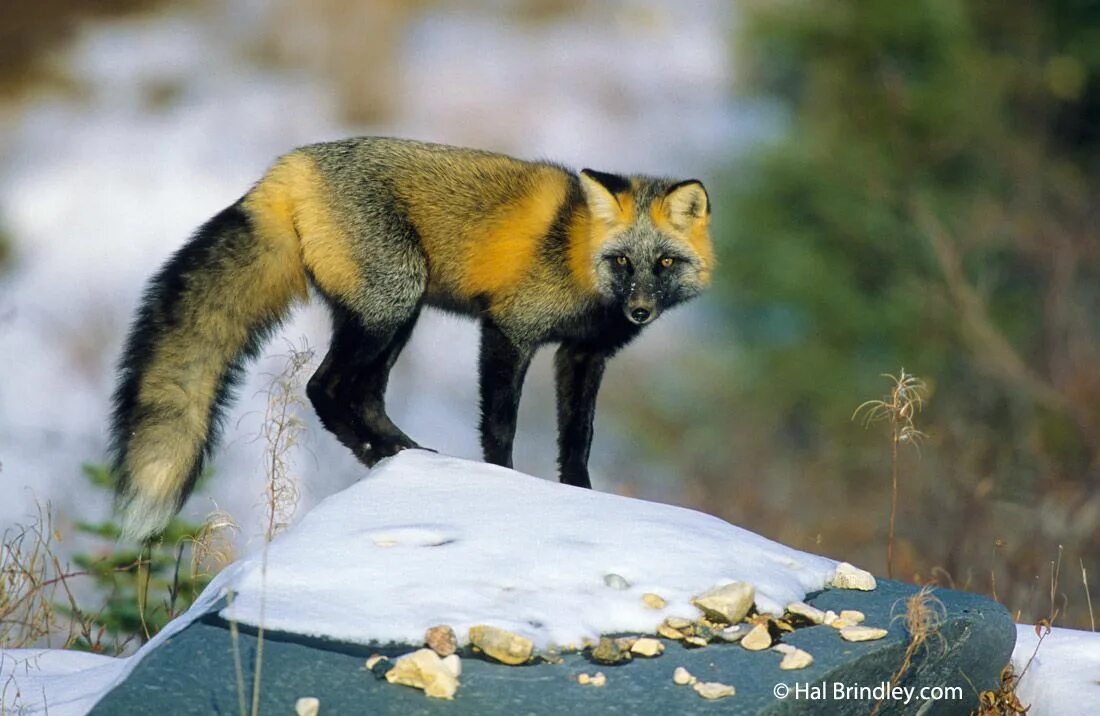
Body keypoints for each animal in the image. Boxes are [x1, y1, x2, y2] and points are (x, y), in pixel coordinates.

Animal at [109, 138, 712, 543]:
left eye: (663, 263)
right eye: (622, 261)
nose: (639, 311)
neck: (577, 255)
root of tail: (289, 165)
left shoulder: (582, 355)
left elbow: (578, 440)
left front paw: (581, 495)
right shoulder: (509, 331)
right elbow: (501, 426)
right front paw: (507, 483)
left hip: (399, 316)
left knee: (361, 394)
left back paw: (396, 452)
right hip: (391, 303)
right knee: (324, 388)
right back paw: (384, 452)